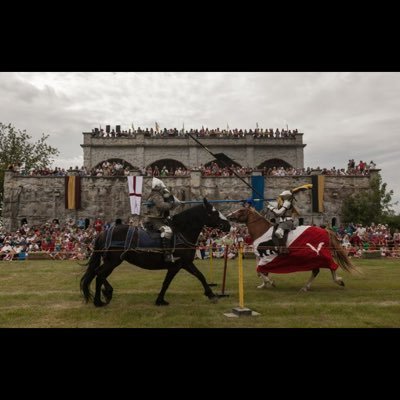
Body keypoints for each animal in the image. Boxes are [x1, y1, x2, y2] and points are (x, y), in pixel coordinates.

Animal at [80, 199, 231, 306]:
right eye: (214, 213)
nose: (228, 225)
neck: (181, 232)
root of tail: (104, 232)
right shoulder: (177, 266)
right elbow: (167, 282)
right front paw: (160, 300)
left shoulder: (186, 264)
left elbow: (200, 276)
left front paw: (211, 294)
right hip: (114, 261)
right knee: (99, 274)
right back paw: (100, 300)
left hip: (112, 261)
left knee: (99, 274)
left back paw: (106, 294)